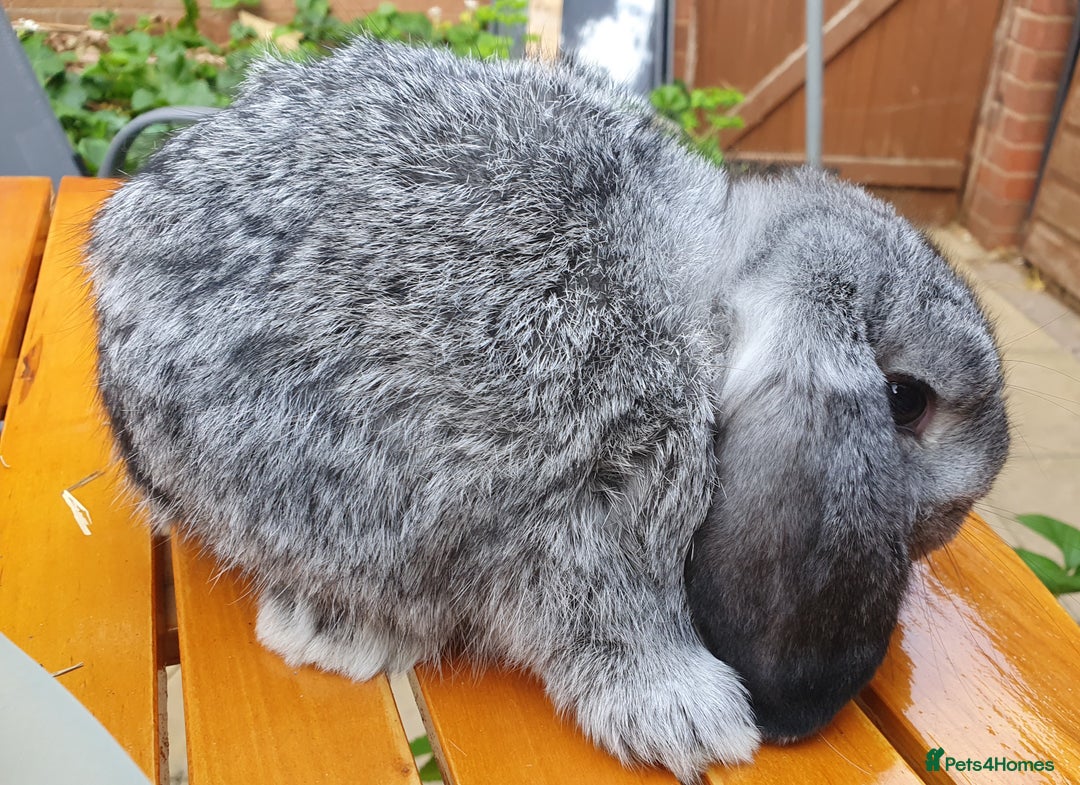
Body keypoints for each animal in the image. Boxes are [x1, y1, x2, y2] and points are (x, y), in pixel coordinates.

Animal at [85, 36, 1010, 782]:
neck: (702, 318)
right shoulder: (578, 508)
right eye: (906, 399)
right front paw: (693, 720)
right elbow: (606, 620)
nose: (959, 513)